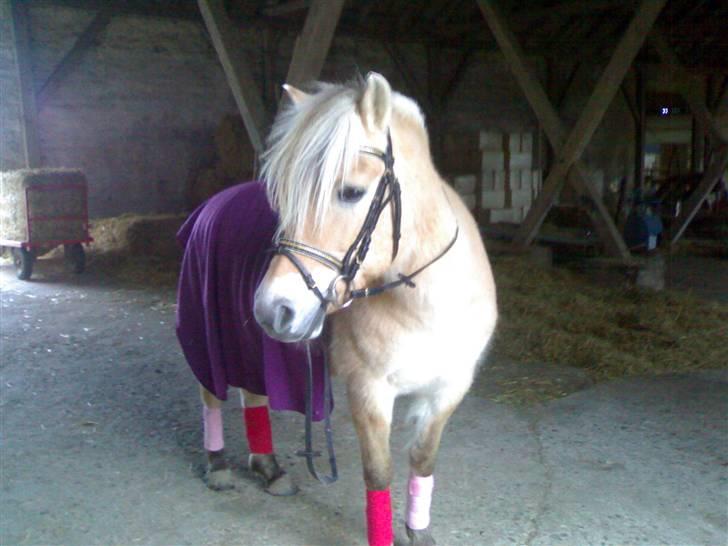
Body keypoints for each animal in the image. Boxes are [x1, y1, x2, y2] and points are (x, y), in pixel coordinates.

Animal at [252, 72, 498, 546]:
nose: (273, 311)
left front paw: (418, 530)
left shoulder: (450, 387)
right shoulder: (368, 390)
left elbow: (422, 459)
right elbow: (378, 475)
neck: (425, 305)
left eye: (351, 192)